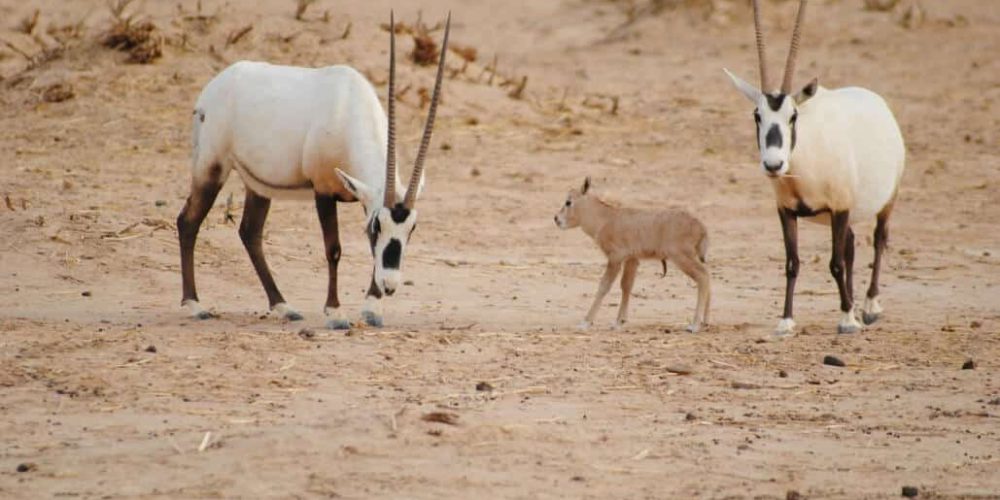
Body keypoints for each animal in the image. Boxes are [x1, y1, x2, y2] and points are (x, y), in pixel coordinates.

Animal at [556, 179, 712, 332]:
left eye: (568, 202)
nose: (556, 219)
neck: (606, 218)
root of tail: (701, 227)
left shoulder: (615, 258)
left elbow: (604, 286)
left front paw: (585, 322)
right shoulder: (631, 259)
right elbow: (626, 285)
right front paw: (619, 322)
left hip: (681, 257)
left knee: (702, 276)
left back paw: (695, 325)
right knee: (707, 274)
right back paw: (705, 321)